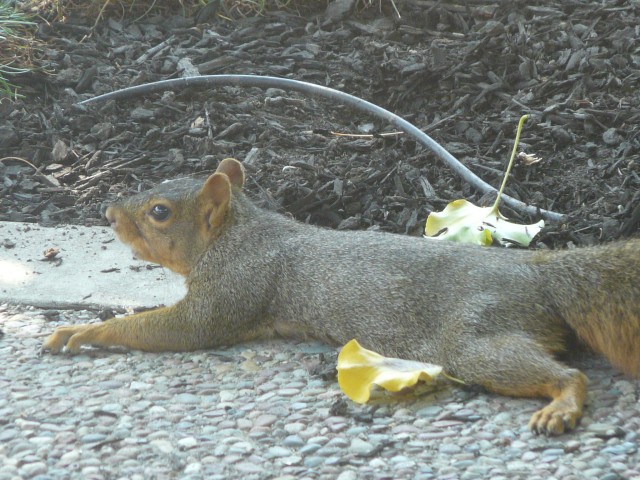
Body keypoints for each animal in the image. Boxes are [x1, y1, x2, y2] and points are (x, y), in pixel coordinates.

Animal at [43, 157, 640, 436]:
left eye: (160, 212)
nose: (108, 214)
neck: (240, 233)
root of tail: (541, 274)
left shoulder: (237, 285)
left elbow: (180, 328)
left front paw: (85, 329)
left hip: (478, 335)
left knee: (565, 373)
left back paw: (561, 404)